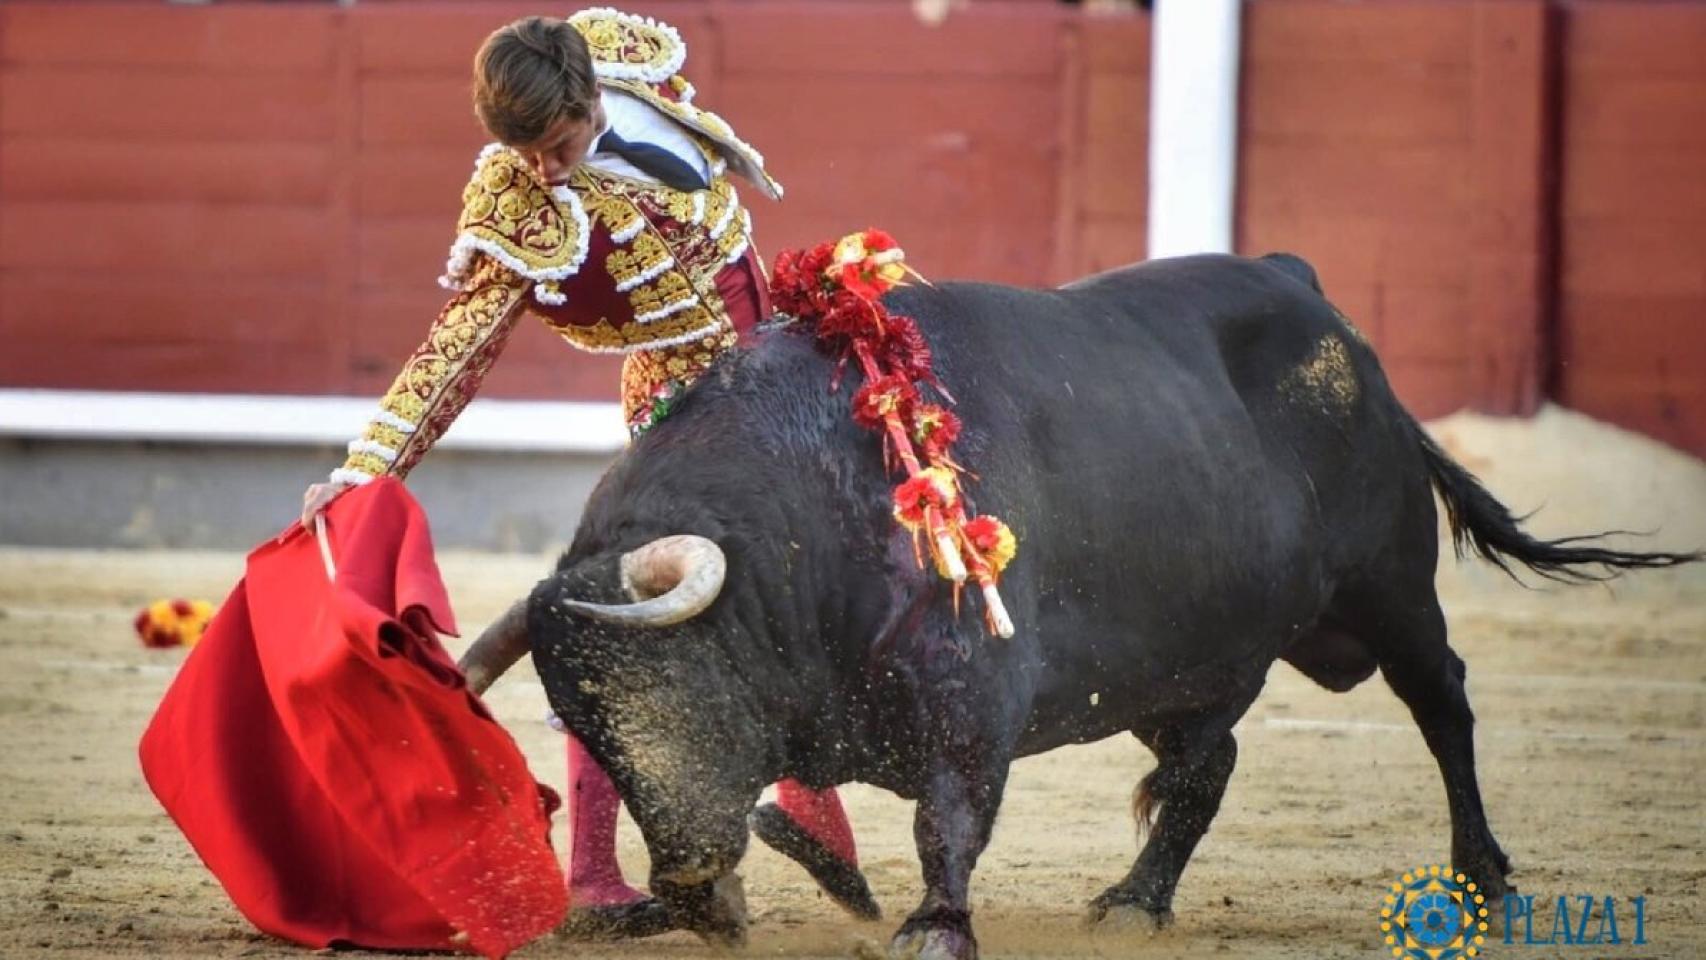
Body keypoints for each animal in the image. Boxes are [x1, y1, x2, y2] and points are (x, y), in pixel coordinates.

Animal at [457, 252, 1692, 954]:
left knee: (1443, 705)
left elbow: (948, 817)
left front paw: (932, 928)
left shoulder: (972, 700)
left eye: (671, 689)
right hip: (1178, 666)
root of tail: (1316, 302)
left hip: (1391, 585)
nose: (683, 876)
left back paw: (1484, 879)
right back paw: (1136, 901)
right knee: (1205, 765)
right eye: (585, 723)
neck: (801, 514)